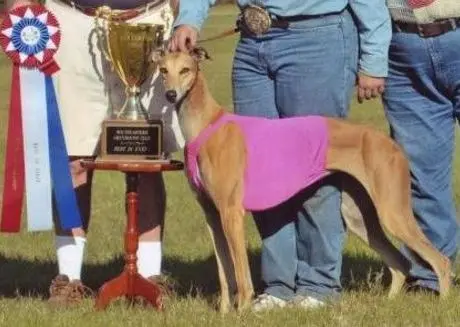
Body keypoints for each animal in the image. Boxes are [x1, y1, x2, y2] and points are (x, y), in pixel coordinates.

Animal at [156, 48, 452, 312]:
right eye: (163, 70)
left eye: (186, 69)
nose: (170, 94)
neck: (205, 124)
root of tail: (391, 144)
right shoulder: (212, 216)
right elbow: (224, 272)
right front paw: (225, 312)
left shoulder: (231, 213)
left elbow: (241, 276)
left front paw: (242, 312)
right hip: (359, 216)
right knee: (400, 263)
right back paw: (389, 304)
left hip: (393, 212)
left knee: (440, 261)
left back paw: (443, 305)